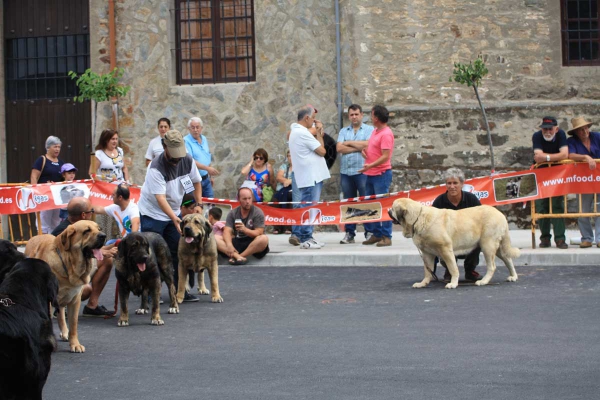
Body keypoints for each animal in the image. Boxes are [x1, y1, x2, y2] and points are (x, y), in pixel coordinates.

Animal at [24, 219, 105, 354]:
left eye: (98, 229)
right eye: (87, 231)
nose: (103, 236)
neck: (69, 264)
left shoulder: (75, 299)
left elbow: (73, 324)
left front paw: (75, 344)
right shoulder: (47, 301)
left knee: (61, 312)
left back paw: (64, 332)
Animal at [390, 198, 520, 290]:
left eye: (392, 208)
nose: (388, 210)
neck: (417, 218)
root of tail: (501, 215)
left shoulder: (446, 250)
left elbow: (453, 268)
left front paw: (453, 283)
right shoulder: (427, 254)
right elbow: (428, 270)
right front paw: (423, 283)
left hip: (487, 245)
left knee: (492, 266)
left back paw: (483, 281)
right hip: (498, 248)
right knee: (508, 260)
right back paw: (513, 276)